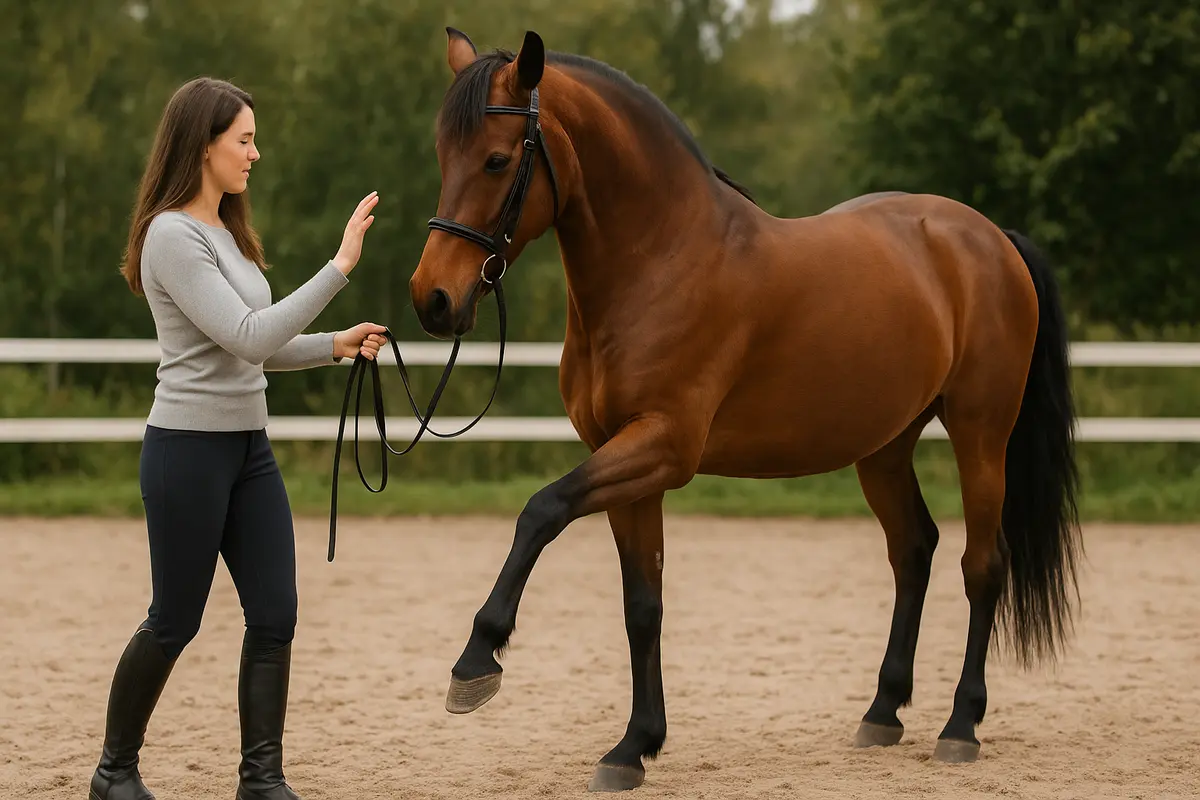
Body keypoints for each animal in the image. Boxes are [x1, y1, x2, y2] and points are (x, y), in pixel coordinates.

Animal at [407, 27, 1083, 792]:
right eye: (443, 155)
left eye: (495, 160)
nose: (433, 300)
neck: (662, 259)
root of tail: (990, 239)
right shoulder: (624, 461)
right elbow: (643, 605)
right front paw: (634, 746)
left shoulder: (662, 448)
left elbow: (540, 511)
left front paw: (476, 660)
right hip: (884, 447)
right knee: (914, 551)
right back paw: (882, 713)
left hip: (981, 434)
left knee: (982, 566)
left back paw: (961, 726)